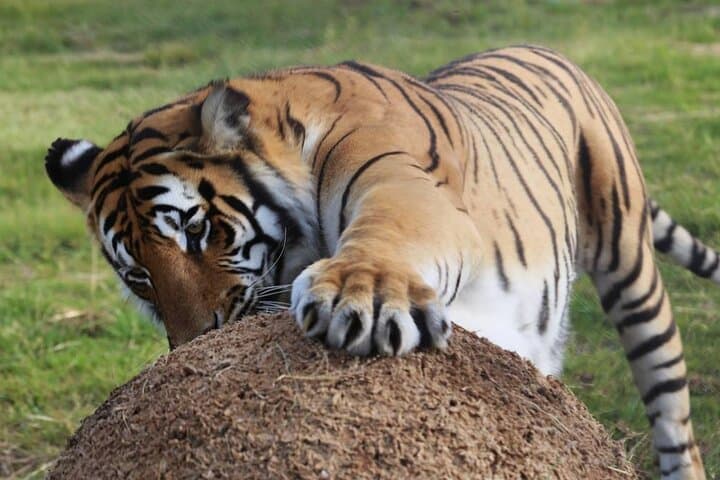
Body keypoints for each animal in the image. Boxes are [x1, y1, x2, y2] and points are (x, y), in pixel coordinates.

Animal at [44, 45, 718, 479]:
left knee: (672, 411)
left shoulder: (405, 185)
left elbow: (386, 234)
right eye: (138, 275)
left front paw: (360, 293)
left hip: (632, 269)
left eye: (196, 230)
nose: (192, 342)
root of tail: (547, 49)